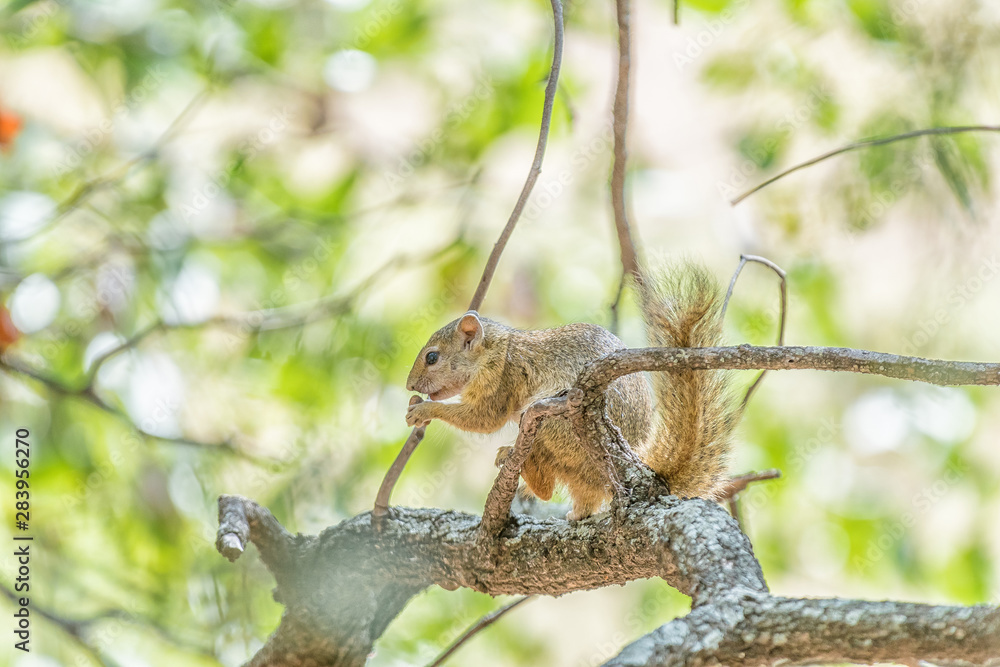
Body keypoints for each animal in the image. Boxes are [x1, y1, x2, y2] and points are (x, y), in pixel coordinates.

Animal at [402, 264, 740, 520]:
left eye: (432, 357)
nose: (409, 385)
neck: (496, 349)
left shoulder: (501, 378)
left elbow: (483, 419)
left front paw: (422, 410)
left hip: (556, 424)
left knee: (547, 486)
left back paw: (514, 457)